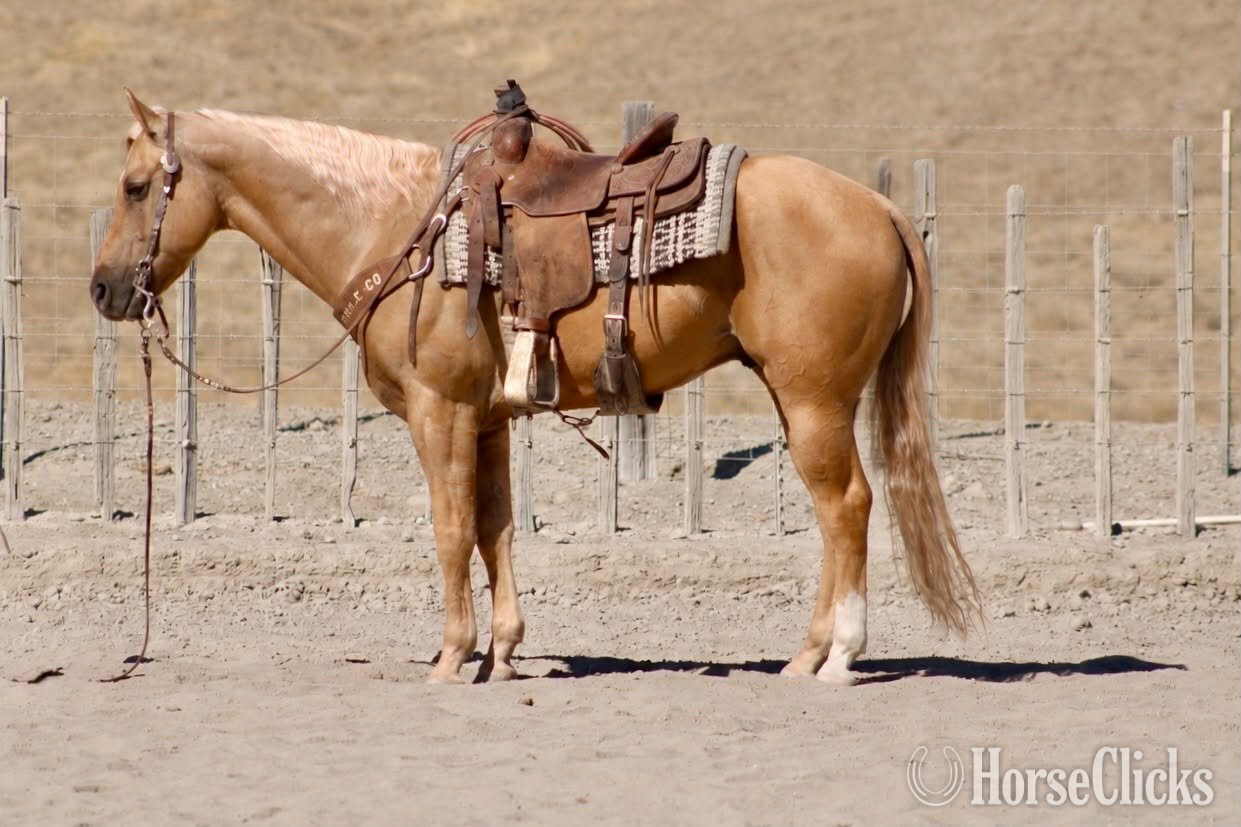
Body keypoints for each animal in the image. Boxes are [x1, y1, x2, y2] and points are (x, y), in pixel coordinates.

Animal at [90, 90, 979, 685]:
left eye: (135, 186)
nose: (103, 290)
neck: (395, 225)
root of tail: (877, 207)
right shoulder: (484, 419)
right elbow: (496, 529)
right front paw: (504, 652)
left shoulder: (438, 411)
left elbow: (450, 529)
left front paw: (451, 657)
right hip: (804, 402)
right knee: (839, 513)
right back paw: (803, 655)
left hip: (812, 401)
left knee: (846, 507)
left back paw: (837, 656)